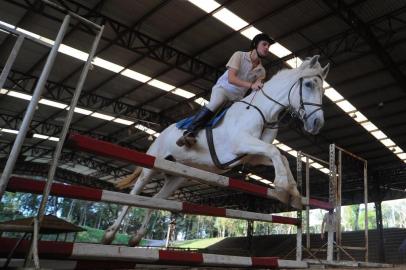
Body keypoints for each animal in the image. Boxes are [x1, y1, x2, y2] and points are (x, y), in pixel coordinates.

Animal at [103, 54, 328, 247]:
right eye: (308, 84)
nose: (317, 124)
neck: (264, 111)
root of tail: (162, 132)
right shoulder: (241, 143)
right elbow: (274, 151)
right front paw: (282, 188)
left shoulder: (252, 156)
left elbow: (281, 156)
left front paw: (294, 193)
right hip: (152, 164)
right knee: (135, 193)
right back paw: (110, 234)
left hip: (176, 176)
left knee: (155, 200)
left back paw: (136, 237)